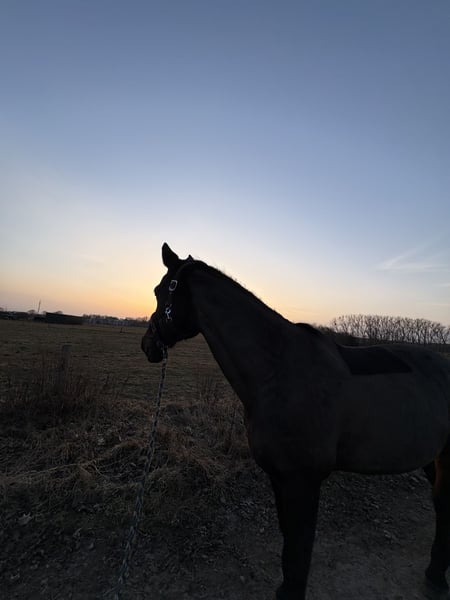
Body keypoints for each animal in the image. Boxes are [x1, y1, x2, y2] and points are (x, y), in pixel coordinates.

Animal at [141, 243, 450, 600]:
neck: (276, 370)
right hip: (432, 460)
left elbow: (300, 549)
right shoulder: (280, 476)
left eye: (159, 291)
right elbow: (289, 543)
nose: (147, 345)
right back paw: (435, 573)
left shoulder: (304, 480)